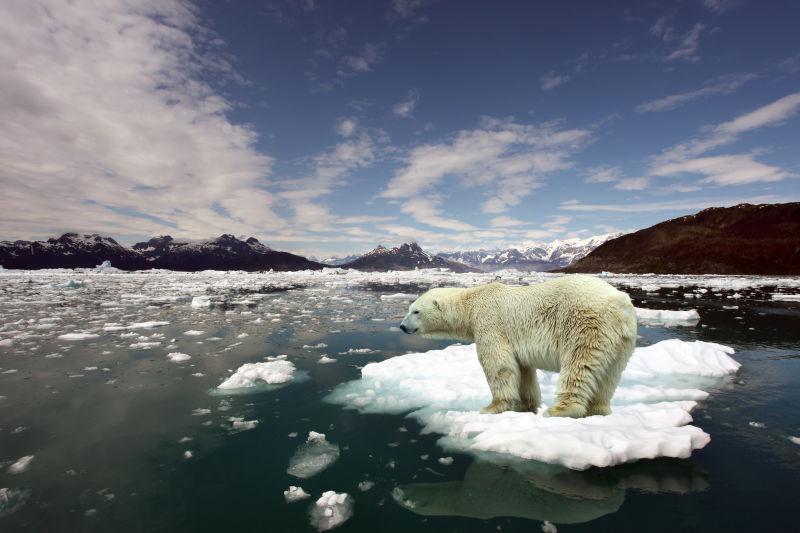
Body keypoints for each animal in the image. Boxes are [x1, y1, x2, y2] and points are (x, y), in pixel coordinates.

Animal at [400, 276, 636, 418]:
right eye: (410, 309)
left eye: (416, 311)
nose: (402, 326)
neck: (471, 303)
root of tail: (620, 304)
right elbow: (523, 371)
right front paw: (525, 406)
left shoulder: (490, 322)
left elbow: (498, 364)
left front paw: (491, 407)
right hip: (621, 341)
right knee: (609, 376)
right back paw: (599, 409)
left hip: (585, 325)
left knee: (578, 365)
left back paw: (560, 410)